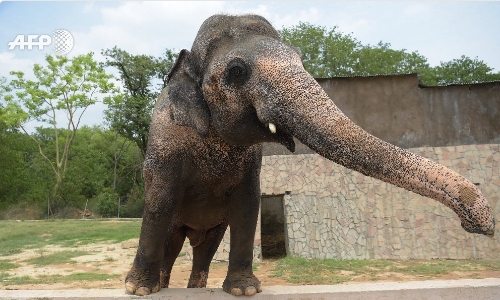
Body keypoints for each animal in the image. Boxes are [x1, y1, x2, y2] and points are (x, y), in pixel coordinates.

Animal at [126, 13, 496, 296]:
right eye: (236, 71)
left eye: (301, 58)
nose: (481, 225)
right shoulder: (164, 142)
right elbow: (161, 199)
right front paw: (137, 289)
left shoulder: (251, 160)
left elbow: (248, 203)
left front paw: (245, 290)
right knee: (173, 242)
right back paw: (159, 286)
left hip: (211, 232)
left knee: (205, 249)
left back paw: (196, 289)